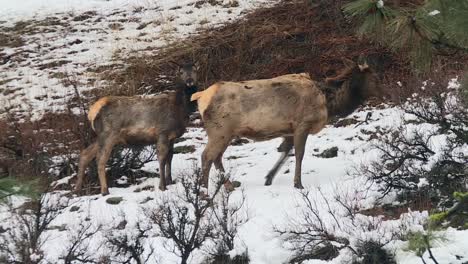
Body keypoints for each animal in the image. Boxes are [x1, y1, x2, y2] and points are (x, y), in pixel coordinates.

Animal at [75, 61, 199, 194]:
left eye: (194, 70)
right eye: (181, 72)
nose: (189, 80)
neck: (181, 109)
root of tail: (92, 112)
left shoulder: (172, 137)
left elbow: (170, 157)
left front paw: (170, 181)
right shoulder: (162, 132)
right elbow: (161, 159)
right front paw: (162, 186)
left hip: (101, 136)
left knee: (85, 154)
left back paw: (78, 189)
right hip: (108, 134)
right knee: (100, 159)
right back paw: (104, 190)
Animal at [190, 58, 380, 189]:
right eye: (374, 78)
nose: (386, 90)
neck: (328, 103)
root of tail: (200, 97)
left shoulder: (289, 129)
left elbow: (285, 151)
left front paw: (268, 178)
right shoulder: (303, 124)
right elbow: (299, 154)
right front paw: (298, 184)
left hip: (227, 133)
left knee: (217, 158)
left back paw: (228, 185)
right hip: (219, 130)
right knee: (207, 157)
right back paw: (205, 191)